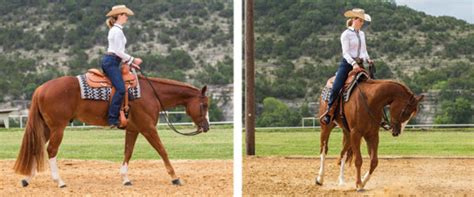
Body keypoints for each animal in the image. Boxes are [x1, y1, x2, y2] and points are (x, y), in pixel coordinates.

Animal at [12, 74, 209, 188]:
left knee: (35, 148)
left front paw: (125, 179)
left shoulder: (133, 130)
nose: (206, 127)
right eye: (205, 105)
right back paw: (59, 181)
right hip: (57, 128)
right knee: (51, 150)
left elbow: (128, 152)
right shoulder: (148, 128)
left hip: (46, 127)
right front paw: (175, 177)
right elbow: (162, 150)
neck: (151, 93)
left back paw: (27, 179)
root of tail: (41, 89)